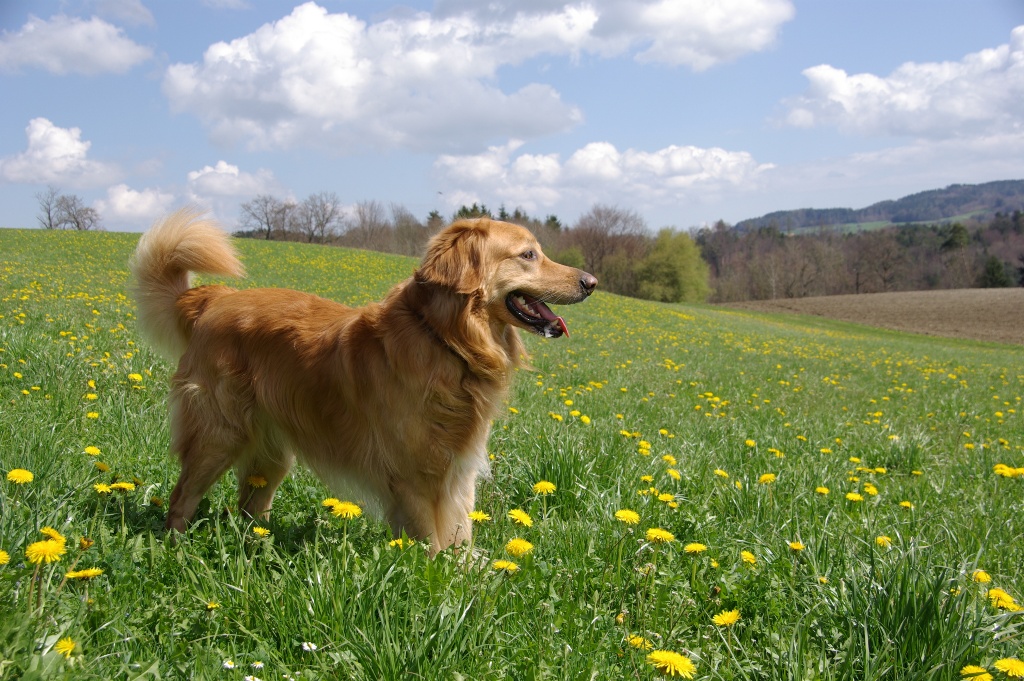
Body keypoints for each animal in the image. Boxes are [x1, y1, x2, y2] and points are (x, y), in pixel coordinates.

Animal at [134, 206, 598, 552]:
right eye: (528, 255)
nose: (591, 282)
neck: (446, 341)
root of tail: (214, 300)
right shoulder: (412, 478)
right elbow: (432, 544)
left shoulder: (458, 472)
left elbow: (460, 538)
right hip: (217, 435)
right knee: (181, 497)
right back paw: (175, 550)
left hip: (272, 453)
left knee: (251, 507)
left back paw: (258, 544)